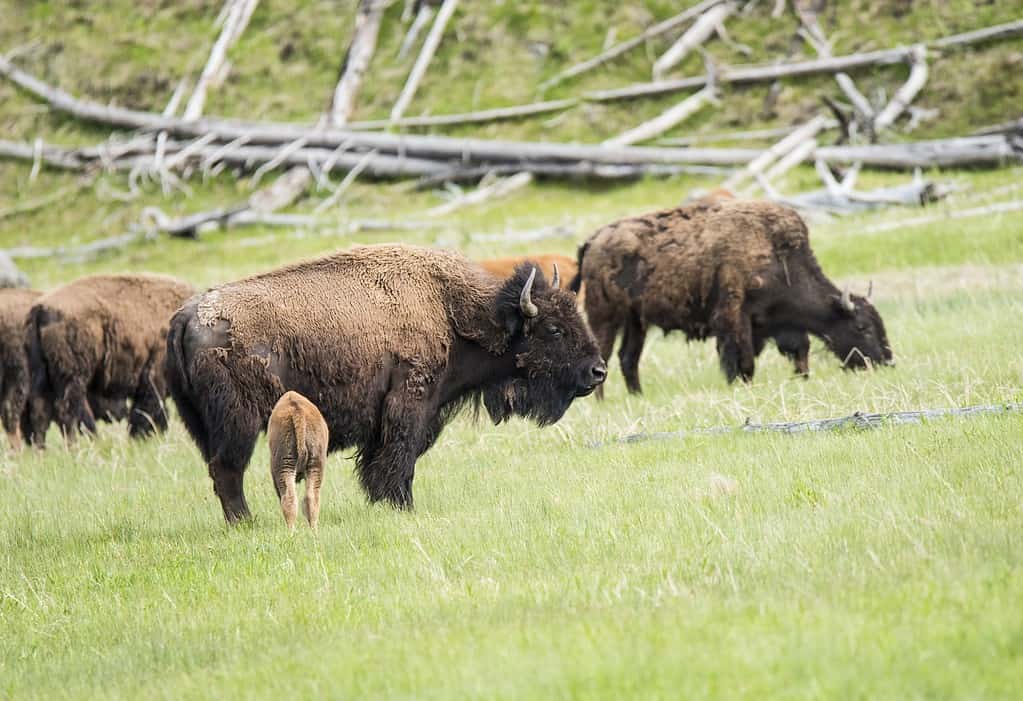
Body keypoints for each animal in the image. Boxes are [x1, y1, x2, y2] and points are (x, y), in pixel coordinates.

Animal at [25, 274, 193, 442]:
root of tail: (41, 307)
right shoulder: (154, 376)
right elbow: (148, 410)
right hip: (74, 376)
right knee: (69, 408)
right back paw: (90, 438)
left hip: (43, 377)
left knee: (41, 410)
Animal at [268, 388, 327, 532]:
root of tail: (297, 410)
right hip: (315, 465)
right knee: (311, 498)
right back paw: (313, 531)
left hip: (284, 466)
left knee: (289, 498)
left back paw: (291, 531)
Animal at [572, 198, 892, 392]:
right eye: (861, 327)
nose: (886, 362)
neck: (779, 257)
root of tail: (593, 239)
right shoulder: (734, 316)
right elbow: (742, 359)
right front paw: (739, 384)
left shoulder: (773, 324)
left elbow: (798, 350)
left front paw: (800, 378)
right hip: (605, 316)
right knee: (605, 356)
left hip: (636, 321)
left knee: (628, 358)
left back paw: (638, 395)